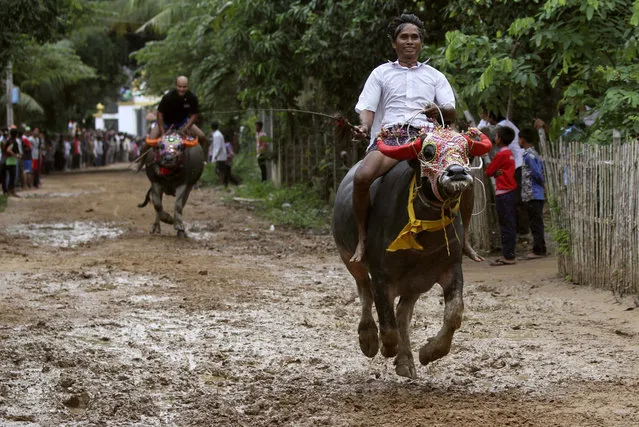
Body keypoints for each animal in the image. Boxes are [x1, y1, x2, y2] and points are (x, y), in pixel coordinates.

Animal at [332, 126, 492, 378]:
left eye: (465, 150)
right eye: (428, 152)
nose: (457, 172)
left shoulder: (451, 268)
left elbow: (454, 314)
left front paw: (429, 352)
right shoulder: (381, 276)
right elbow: (387, 326)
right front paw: (385, 347)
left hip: (415, 283)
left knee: (403, 314)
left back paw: (405, 360)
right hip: (350, 259)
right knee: (365, 292)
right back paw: (368, 339)